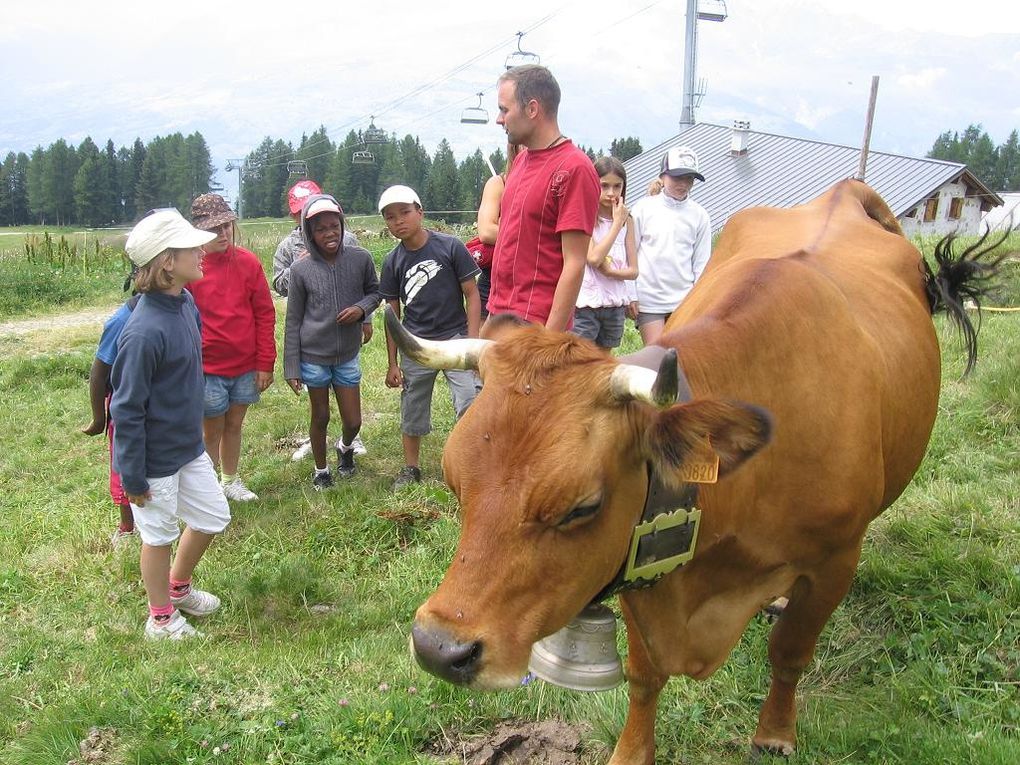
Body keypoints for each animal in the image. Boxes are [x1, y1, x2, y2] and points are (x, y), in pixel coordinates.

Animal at [391, 179, 1003, 762]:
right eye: (456, 483)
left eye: (582, 507)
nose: (438, 648)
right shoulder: (643, 561)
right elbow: (644, 676)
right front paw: (631, 752)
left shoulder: (835, 561)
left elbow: (790, 651)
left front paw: (775, 734)